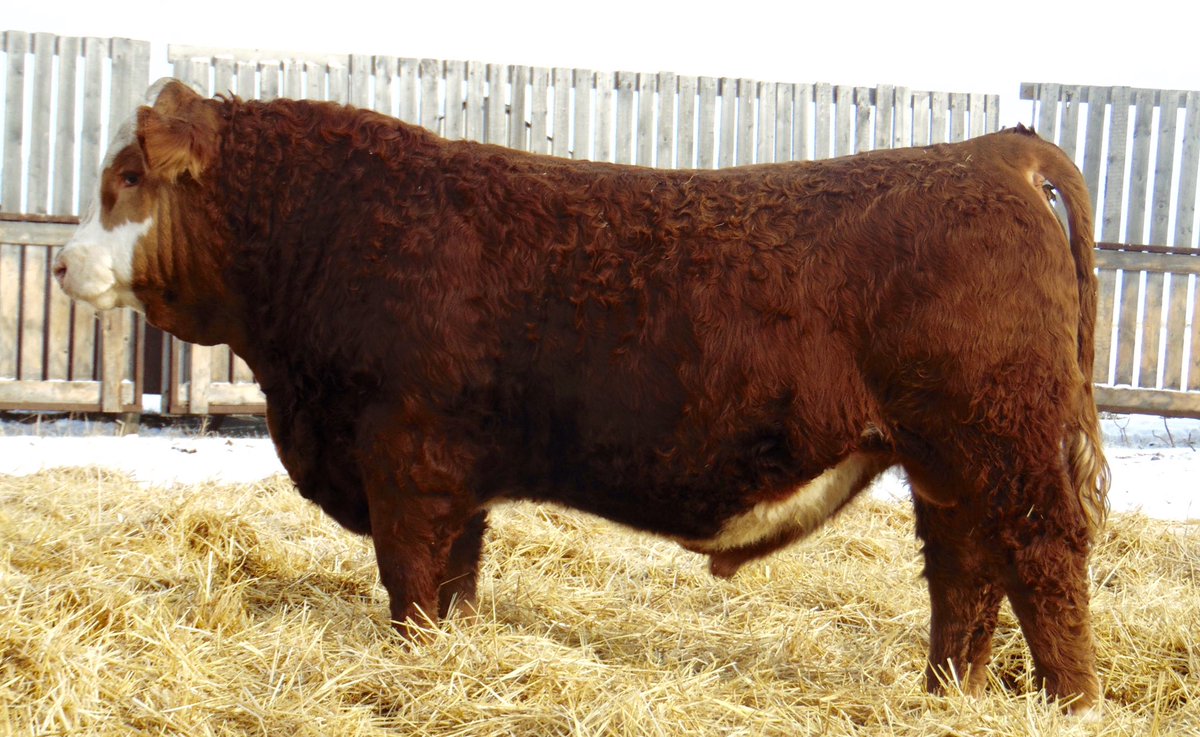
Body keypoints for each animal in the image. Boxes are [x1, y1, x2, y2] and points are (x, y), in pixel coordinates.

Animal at [55, 79, 1110, 712]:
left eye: (128, 176)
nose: (63, 262)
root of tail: (991, 153)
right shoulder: (456, 477)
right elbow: (456, 585)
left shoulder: (403, 457)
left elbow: (412, 589)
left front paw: (417, 673)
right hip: (949, 461)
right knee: (966, 573)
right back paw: (943, 696)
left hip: (1003, 441)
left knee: (1044, 562)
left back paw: (1069, 703)